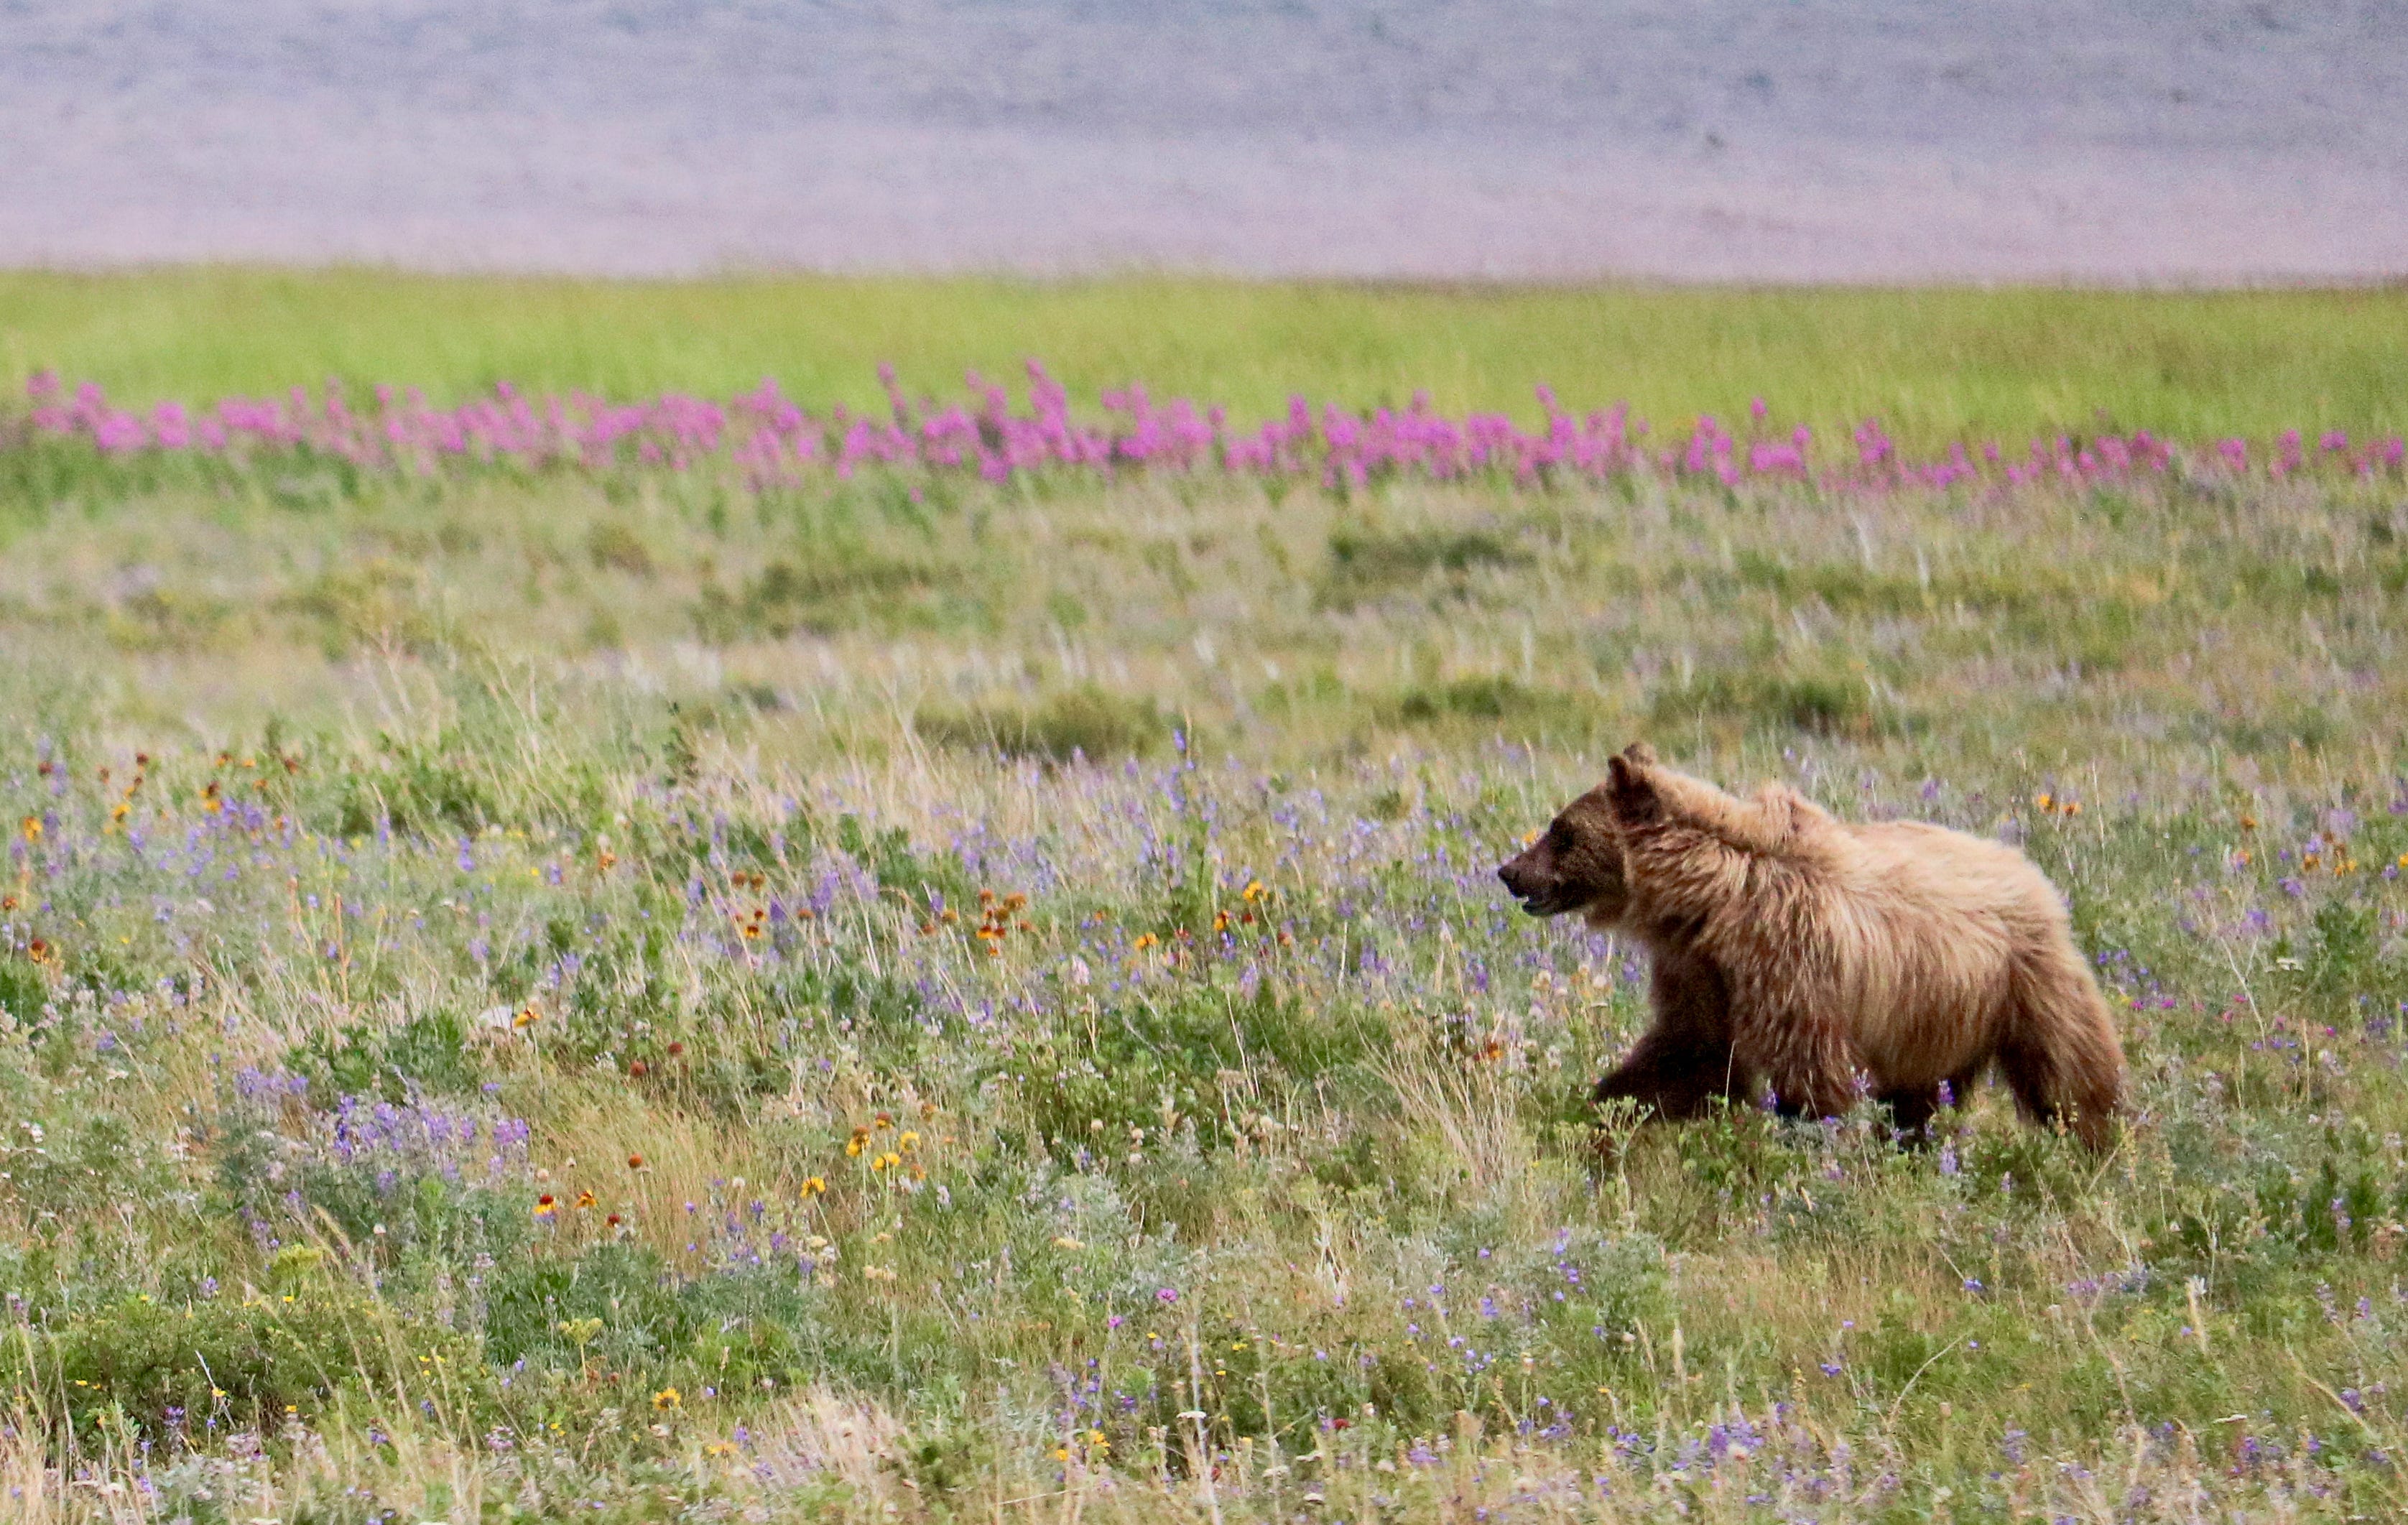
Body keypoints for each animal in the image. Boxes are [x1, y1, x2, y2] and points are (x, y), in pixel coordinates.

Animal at [1585, 746, 2124, 1147]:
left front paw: (1812, 1141)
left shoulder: (1790, 954)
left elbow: (1811, 1074)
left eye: (1566, 833)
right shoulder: (1707, 970)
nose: (1546, 879)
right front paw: (1606, 1108)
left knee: (2069, 1072)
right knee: (1917, 1097)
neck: (1713, 896)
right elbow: (1691, 1054)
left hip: (2023, 982)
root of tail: (2030, 870)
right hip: (1936, 1017)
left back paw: (2099, 1145)